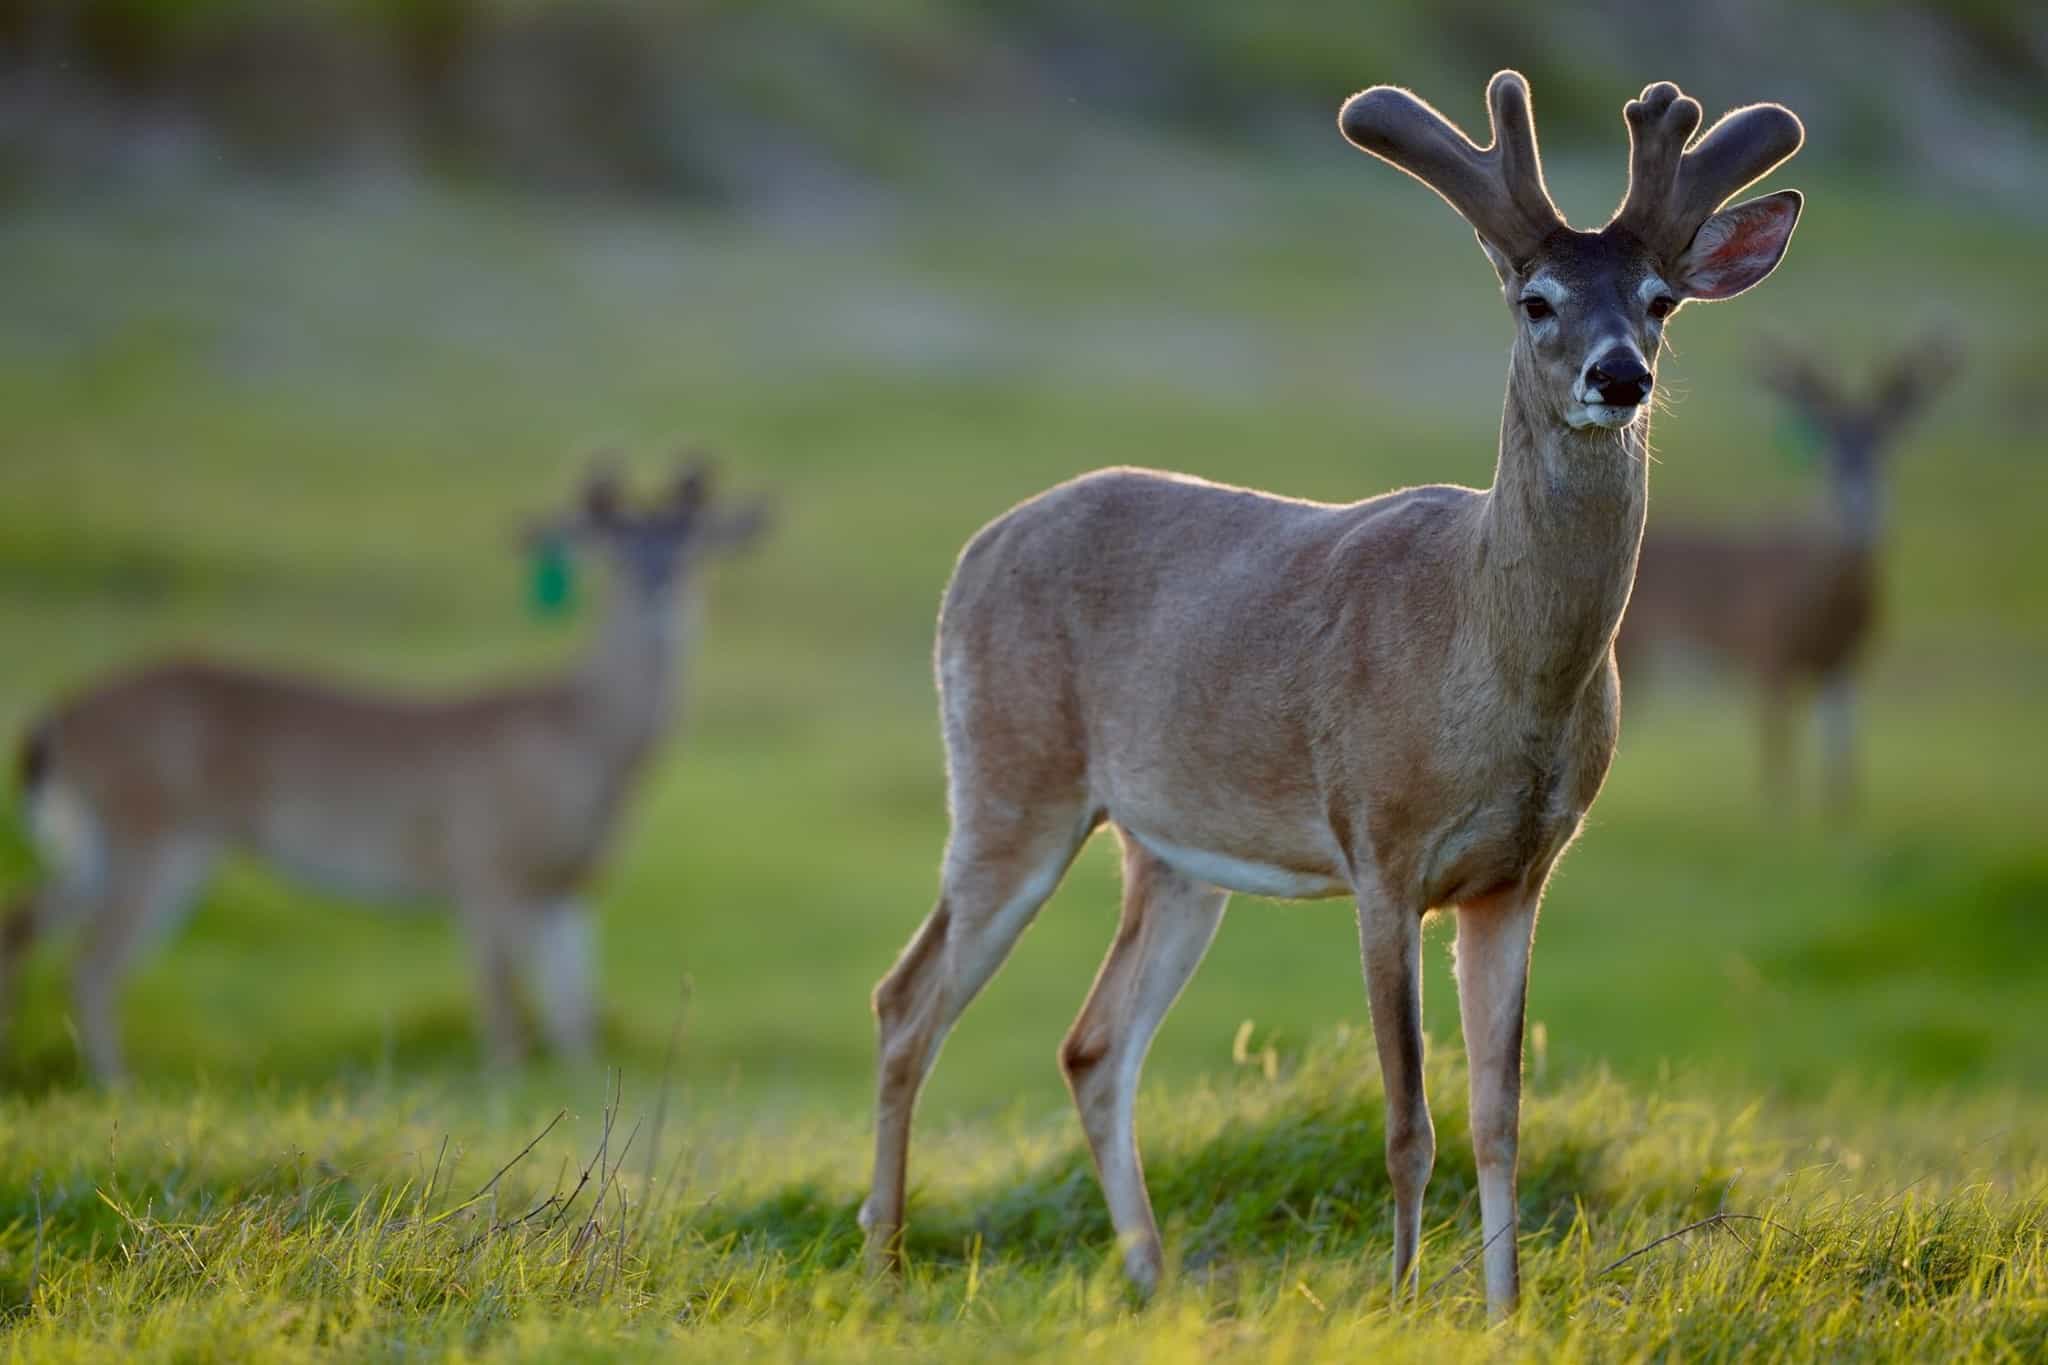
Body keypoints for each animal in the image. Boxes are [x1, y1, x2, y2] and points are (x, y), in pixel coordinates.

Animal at [1, 459, 769, 1083]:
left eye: (695, 541)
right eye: (610, 546)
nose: (658, 583)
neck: (582, 734)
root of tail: (58, 717)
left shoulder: (567, 887)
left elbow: (572, 1011)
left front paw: (580, 1093)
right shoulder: (483, 869)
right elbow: (502, 1007)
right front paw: (505, 1091)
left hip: (106, 840)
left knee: (29, 921)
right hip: (156, 834)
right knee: (91, 965)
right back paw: (116, 1086)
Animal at [857, 71, 1803, 1318]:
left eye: (1657, 300)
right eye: (1535, 301)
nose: (1619, 374)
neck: (1489, 669)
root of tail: (975, 550)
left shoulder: (1518, 872)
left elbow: (1499, 1118)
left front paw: (1504, 1312)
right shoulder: (1379, 845)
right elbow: (1407, 1122)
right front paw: (1401, 1300)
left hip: (1172, 851)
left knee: (1091, 1045)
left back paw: (1153, 1279)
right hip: (1012, 780)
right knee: (906, 1002)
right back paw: (884, 1268)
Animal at [1618, 335, 1958, 811]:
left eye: (1883, 443)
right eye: (1830, 446)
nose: (1858, 500)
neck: (1820, 591)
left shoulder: (1844, 664)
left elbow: (1842, 771)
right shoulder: (1767, 651)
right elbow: (1778, 768)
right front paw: (1778, 818)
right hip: (1633, 652)